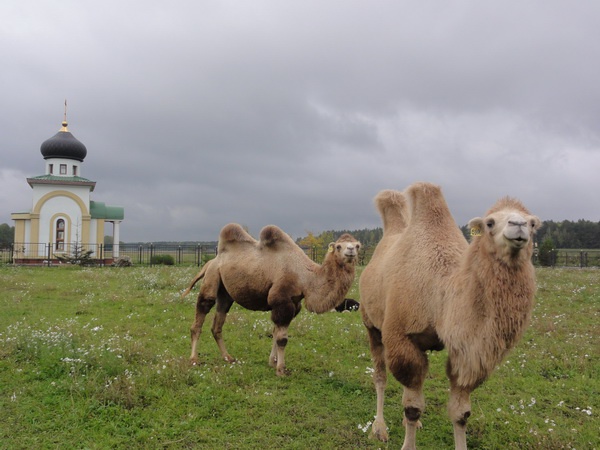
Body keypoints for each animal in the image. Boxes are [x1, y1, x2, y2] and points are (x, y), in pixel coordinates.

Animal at [184, 223, 361, 376]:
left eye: (358, 245)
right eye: (338, 246)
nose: (351, 250)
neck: (305, 276)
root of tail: (210, 262)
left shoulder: (294, 304)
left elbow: (275, 333)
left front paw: (272, 362)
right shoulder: (281, 300)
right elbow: (282, 339)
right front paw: (281, 369)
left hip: (225, 292)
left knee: (218, 323)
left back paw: (228, 357)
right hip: (212, 277)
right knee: (202, 311)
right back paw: (193, 359)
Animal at [359, 182, 540, 450]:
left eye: (532, 223)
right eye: (490, 222)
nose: (518, 226)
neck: (441, 296)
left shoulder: (465, 352)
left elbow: (461, 413)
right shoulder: (400, 336)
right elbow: (413, 407)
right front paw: (407, 442)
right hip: (372, 324)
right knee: (381, 376)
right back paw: (379, 427)